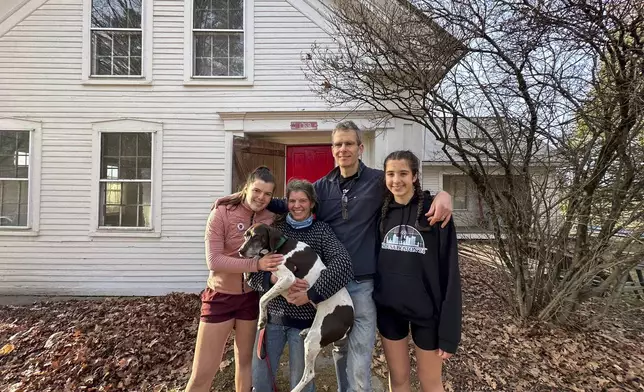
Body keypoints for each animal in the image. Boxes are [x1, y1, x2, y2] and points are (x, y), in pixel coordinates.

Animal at [239, 224, 354, 392]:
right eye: (245, 235)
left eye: (256, 236)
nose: (240, 251)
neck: (280, 246)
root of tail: (351, 320)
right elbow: (257, 263)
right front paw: (248, 272)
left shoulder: (288, 278)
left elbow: (263, 298)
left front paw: (262, 319)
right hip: (317, 329)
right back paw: (305, 329)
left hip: (313, 340)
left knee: (310, 374)